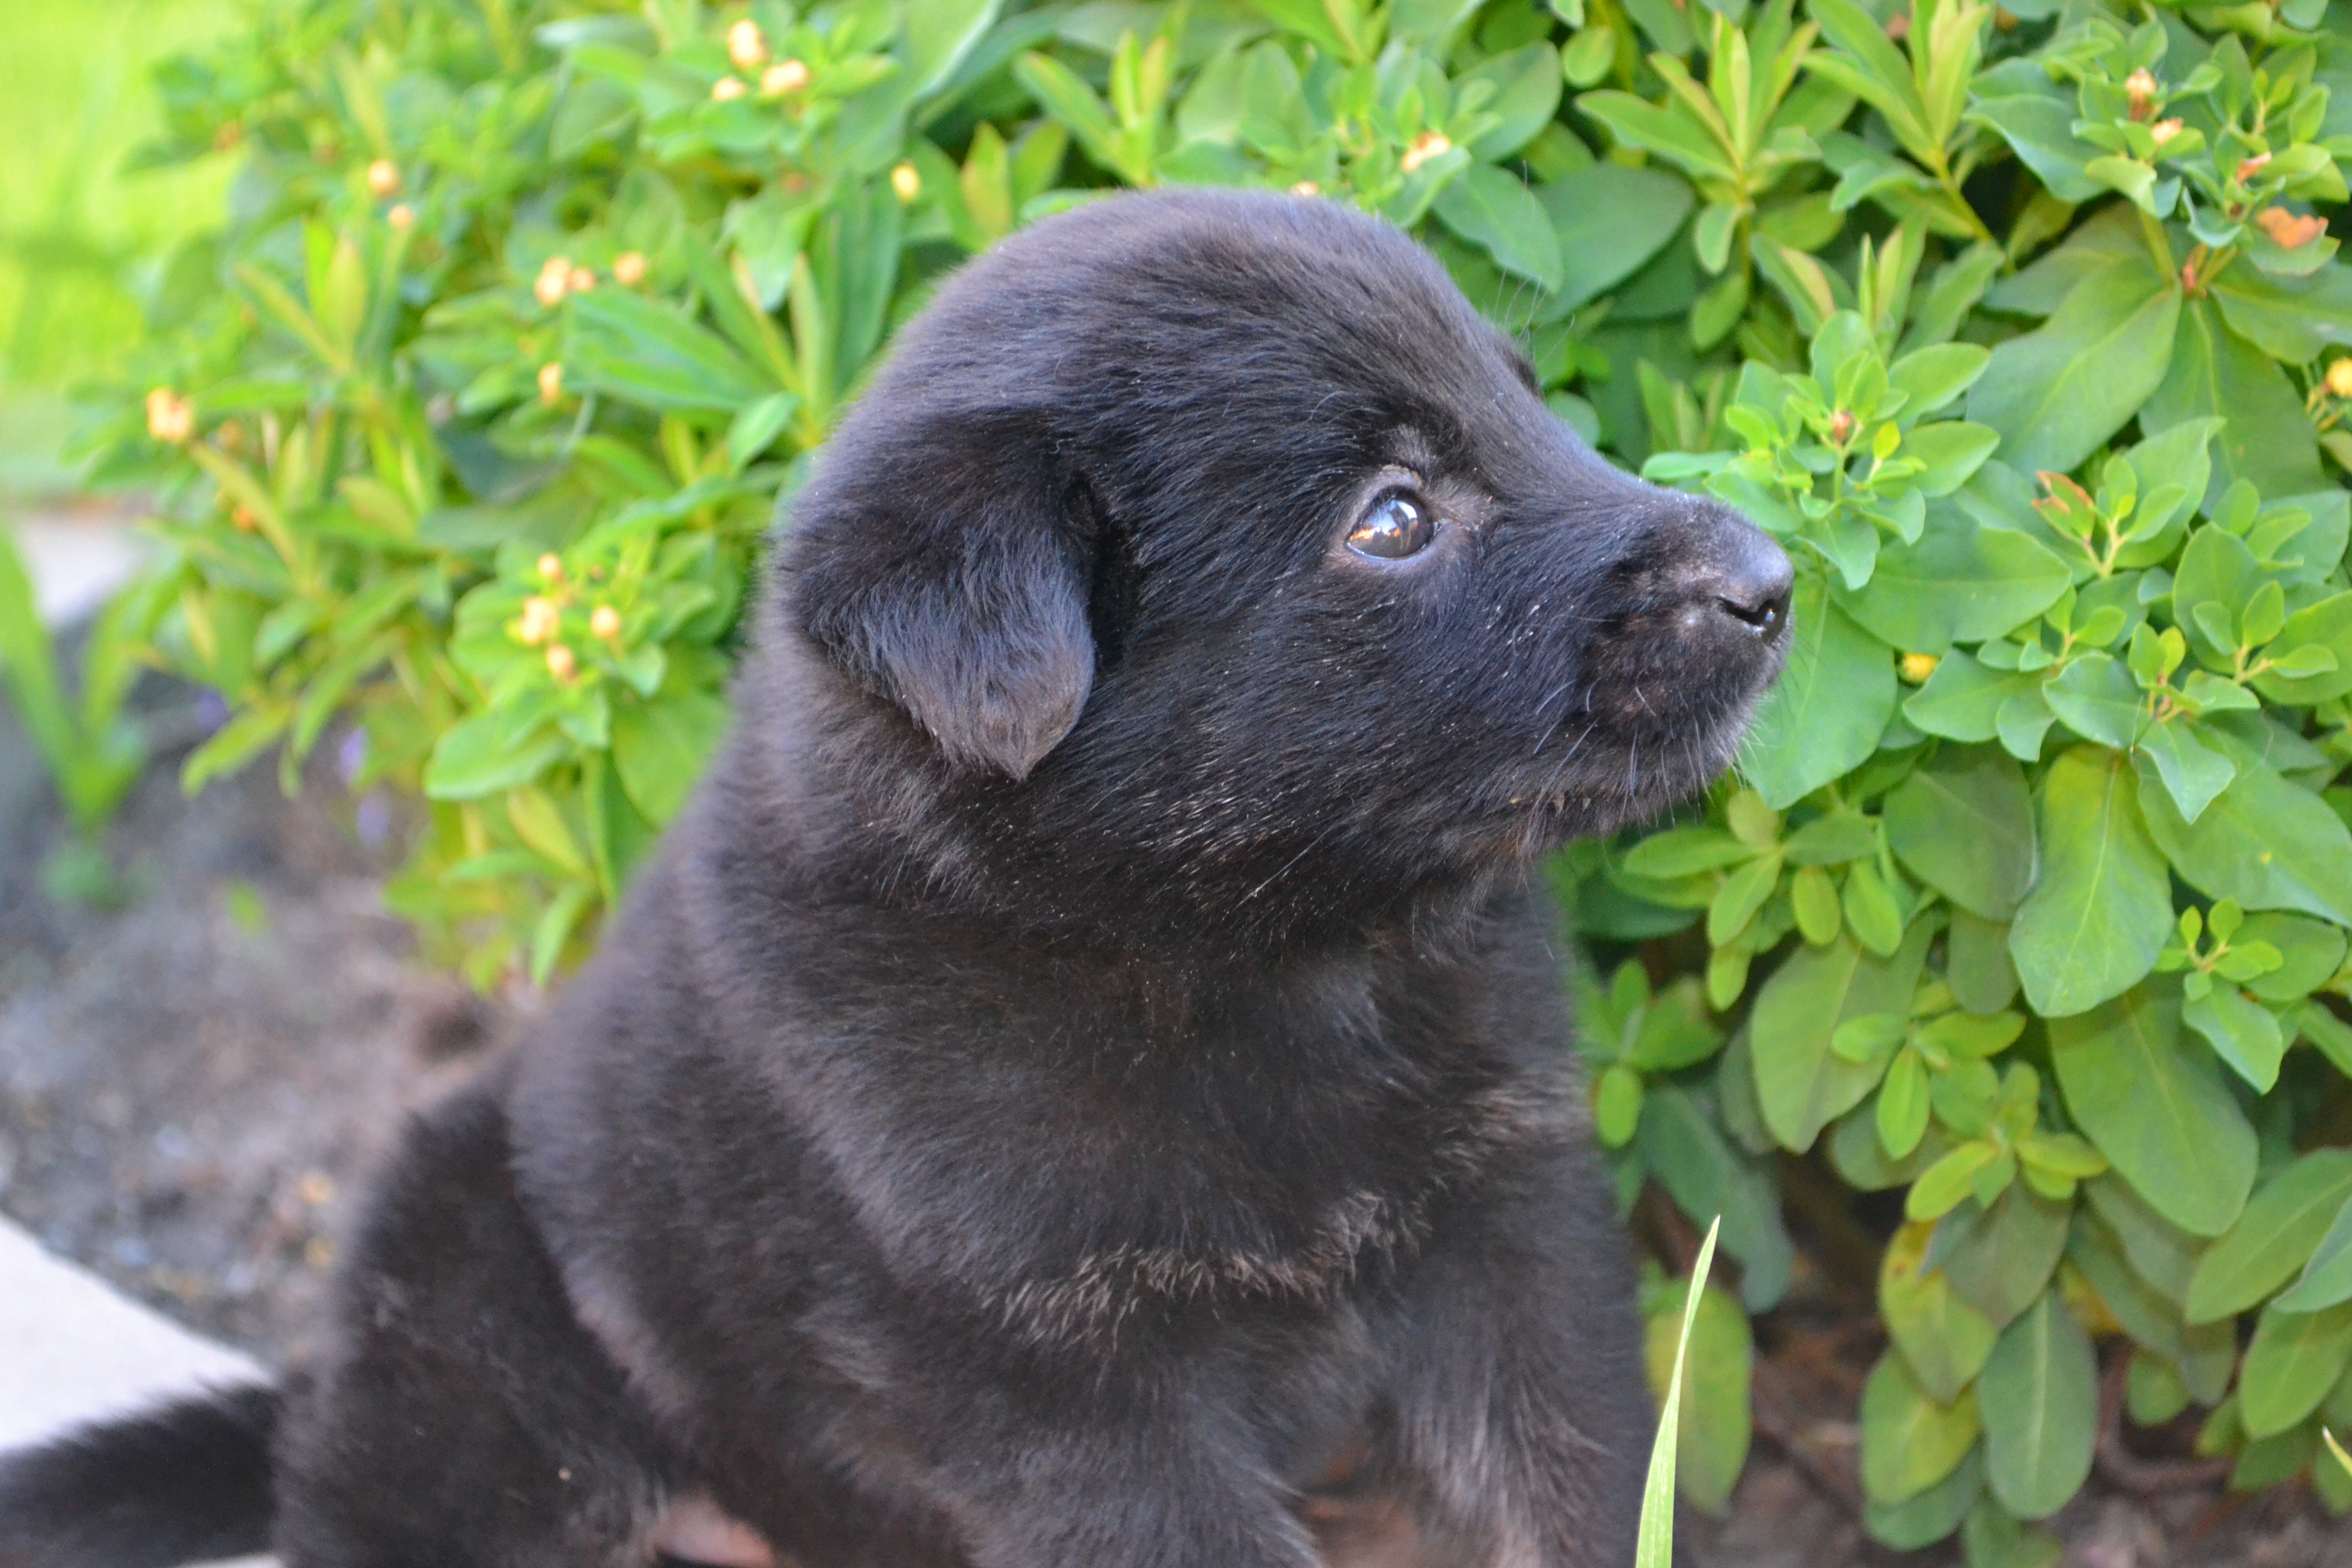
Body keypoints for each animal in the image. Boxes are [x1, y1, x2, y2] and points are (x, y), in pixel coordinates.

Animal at [0, 186, 1791, 1568]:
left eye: (1533, 402)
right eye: (1394, 519)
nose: (1773, 582)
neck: (1249, 965)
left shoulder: (1509, 1238)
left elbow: (1575, 1491)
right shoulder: (1063, 1386)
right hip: (477, 1356)